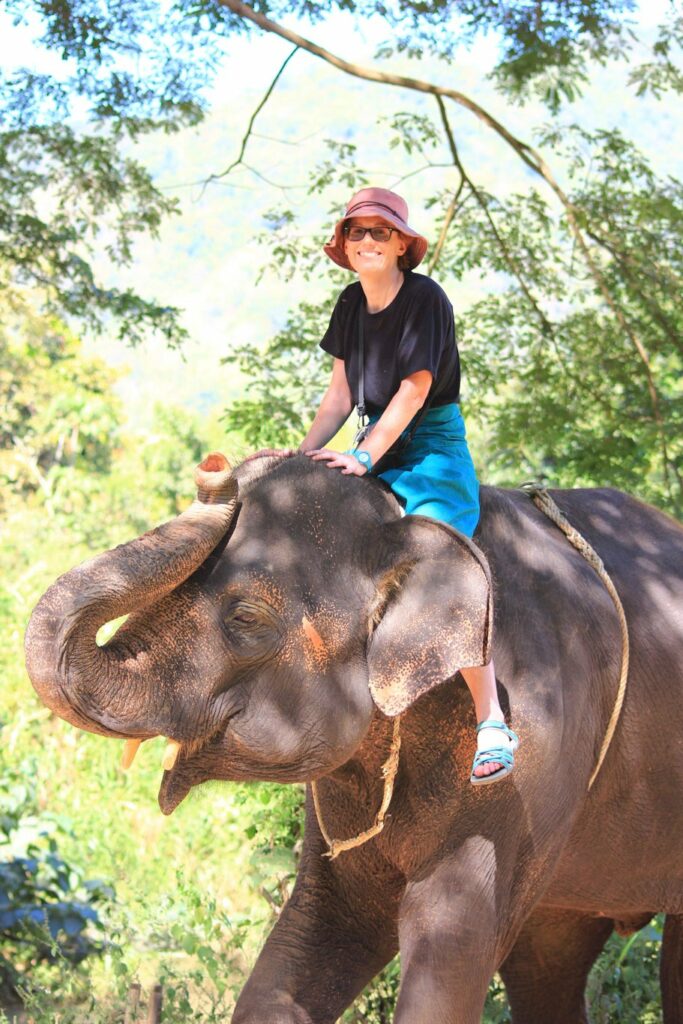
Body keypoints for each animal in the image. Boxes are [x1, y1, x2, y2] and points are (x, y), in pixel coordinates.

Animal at [25, 449, 683, 1024]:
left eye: (245, 618)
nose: (215, 467)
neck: (405, 520)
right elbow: (315, 936)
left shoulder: (532, 757)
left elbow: (450, 947)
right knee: (548, 963)